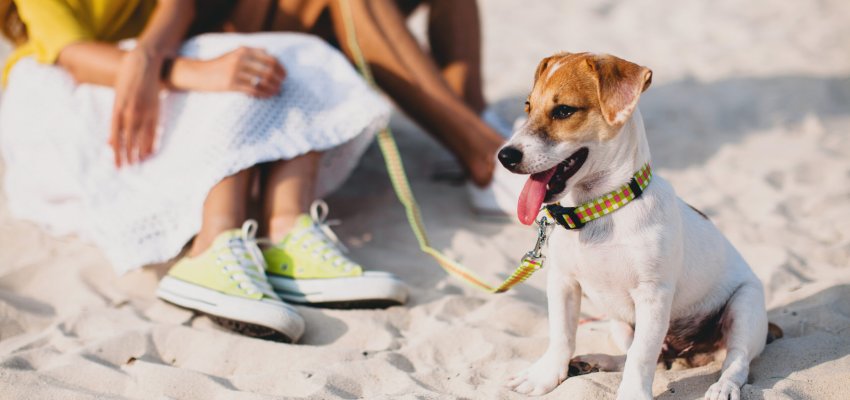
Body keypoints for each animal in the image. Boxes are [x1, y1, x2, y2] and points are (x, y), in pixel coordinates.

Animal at [500, 52, 780, 400]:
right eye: (527, 106)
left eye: (564, 110)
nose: (504, 156)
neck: (601, 210)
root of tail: (686, 353)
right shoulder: (563, 282)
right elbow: (562, 336)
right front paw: (546, 376)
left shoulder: (652, 296)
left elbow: (642, 355)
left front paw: (632, 393)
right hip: (620, 323)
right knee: (646, 356)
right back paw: (595, 362)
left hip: (745, 306)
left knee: (736, 360)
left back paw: (723, 387)